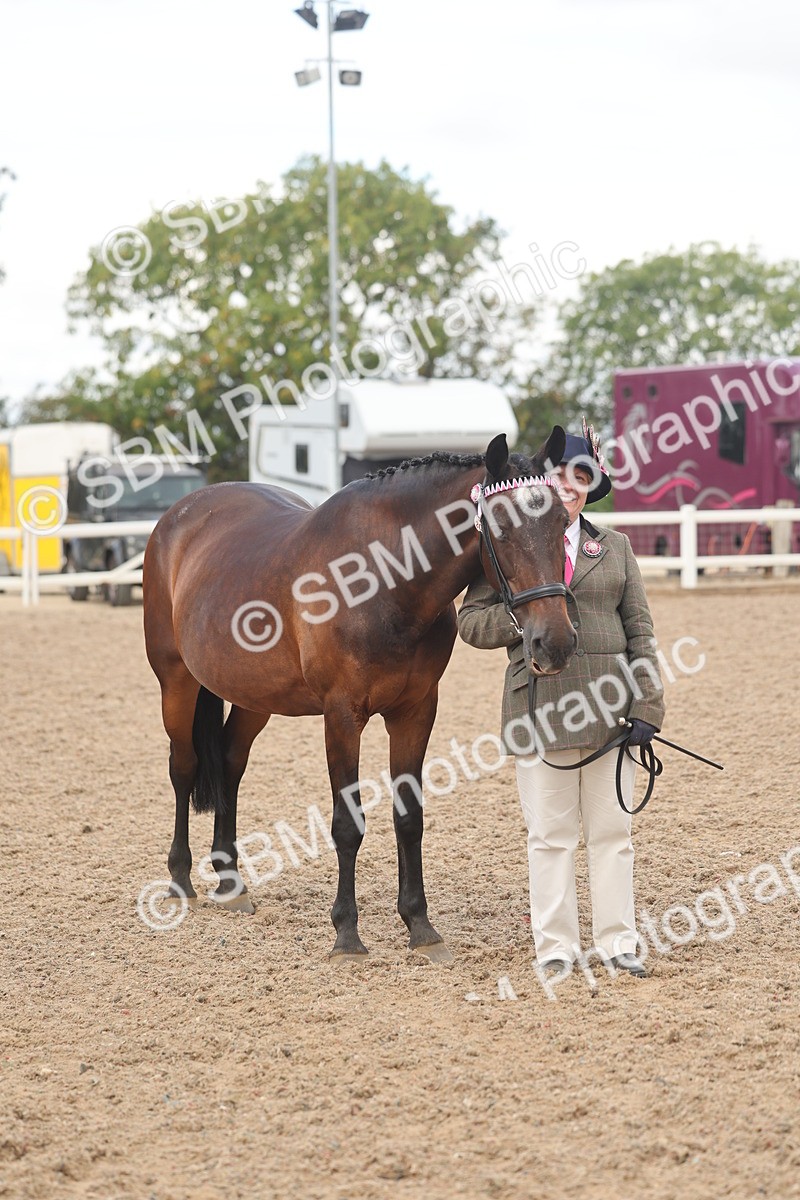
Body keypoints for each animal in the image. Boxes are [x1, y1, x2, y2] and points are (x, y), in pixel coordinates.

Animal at [142, 427, 577, 961]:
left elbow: (409, 817)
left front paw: (420, 926)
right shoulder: (342, 716)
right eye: (501, 528)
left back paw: (231, 882)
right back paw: (180, 879)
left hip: (252, 695)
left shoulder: (416, 712)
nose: (554, 642)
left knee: (228, 762)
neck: (381, 580)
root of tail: (179, 516)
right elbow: (347, 824)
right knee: (183, 768)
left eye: (562, 521)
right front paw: (347, 933)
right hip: (176, 681)